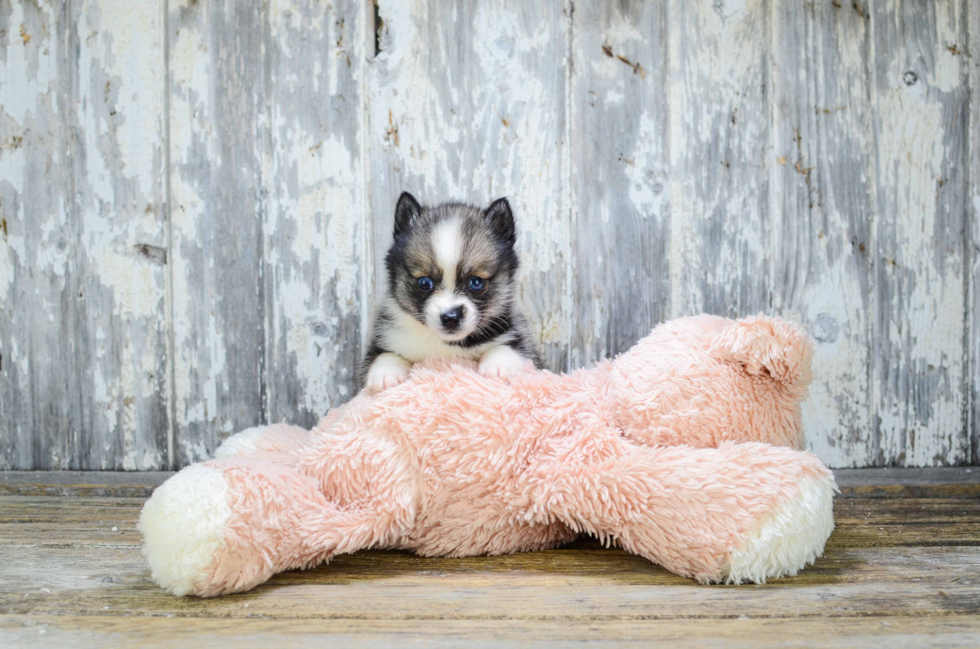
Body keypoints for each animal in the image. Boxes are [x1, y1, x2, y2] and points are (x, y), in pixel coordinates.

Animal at [362, 192, 544, 392]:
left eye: (476, 282)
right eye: (424, 282)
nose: (450, 317)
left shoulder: (519, 337)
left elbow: (509, 347)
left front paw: (498, 366)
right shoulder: (386, 337)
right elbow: (384, 355)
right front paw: (386, 374)